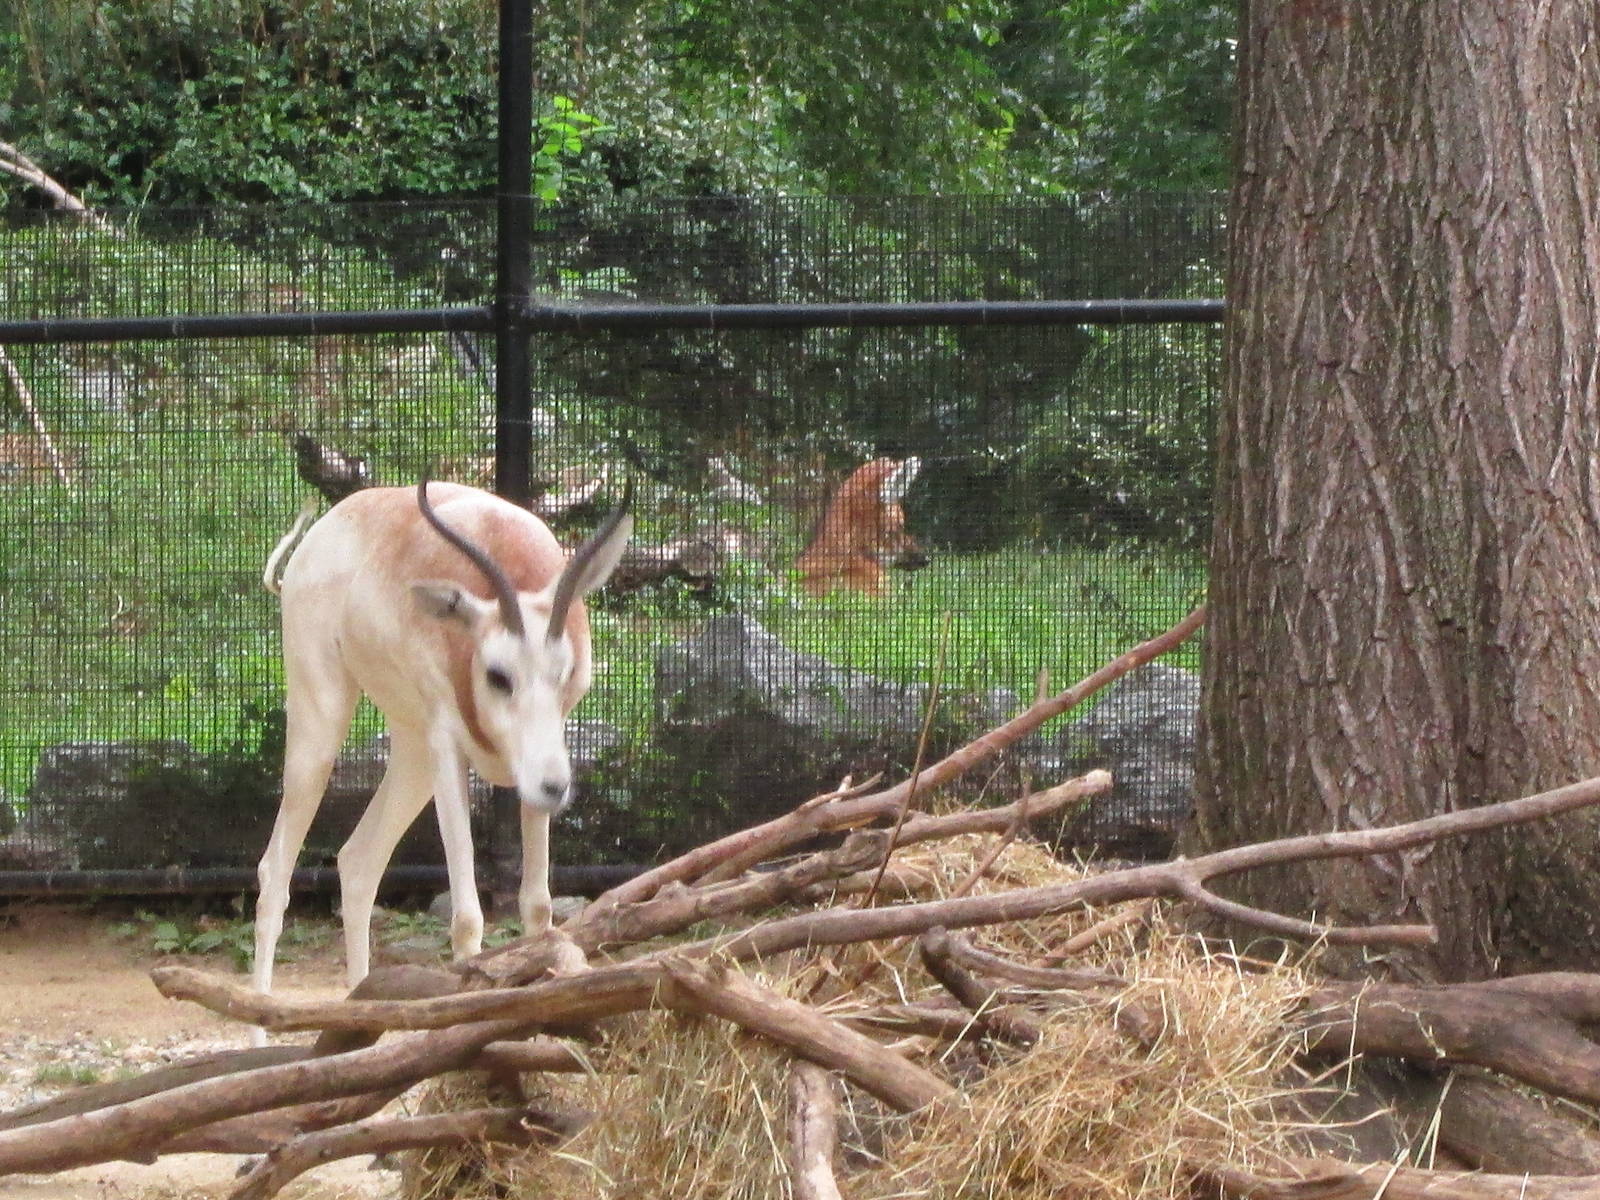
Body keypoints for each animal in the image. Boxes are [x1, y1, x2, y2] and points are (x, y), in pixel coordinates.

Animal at [255, 476, 632, 1017]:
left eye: (564, 672)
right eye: (498, 675)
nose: (558, 788)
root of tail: (328, 529)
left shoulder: (537, 765)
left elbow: (538, 908)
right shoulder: (450, 750)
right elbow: (468, 917)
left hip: (413, 752)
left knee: (358, 862)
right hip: (324, 728)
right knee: (275, 873)